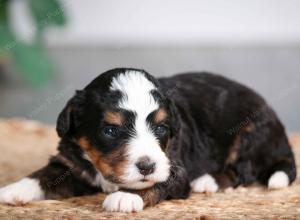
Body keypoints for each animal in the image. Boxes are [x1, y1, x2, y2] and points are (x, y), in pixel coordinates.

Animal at [0, 68, 296, 212]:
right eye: (111, 131)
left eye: (162, 128)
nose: (146, 166)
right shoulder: (69, 163)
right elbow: (42, 175)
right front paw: (13, 190)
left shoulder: (173, 165)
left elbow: (153, 183)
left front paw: (125, 197)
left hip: (249, 133)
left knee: (241, 172)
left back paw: (206, 181)